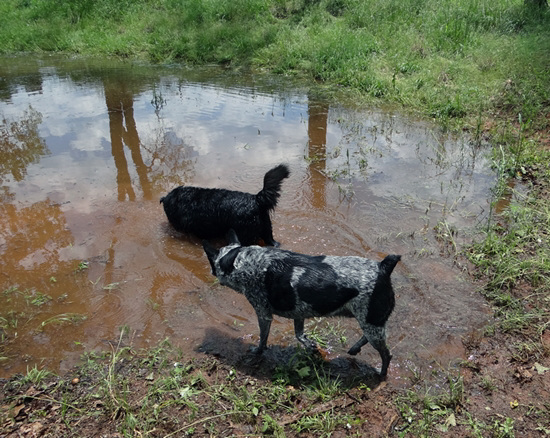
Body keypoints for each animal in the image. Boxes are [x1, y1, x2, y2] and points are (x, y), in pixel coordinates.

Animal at [205, 231, 404, 378]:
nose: (211, 272)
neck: (240, 260)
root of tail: (383, 267)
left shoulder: (263, 313)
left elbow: (263, 338)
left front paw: (258, 351)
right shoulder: (298, 313)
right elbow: (299, 334)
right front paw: (310, 346)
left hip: (372, 323)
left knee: (386, 354)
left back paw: (381, 373)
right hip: (370, 323)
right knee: (367, 338)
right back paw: (355, 349)